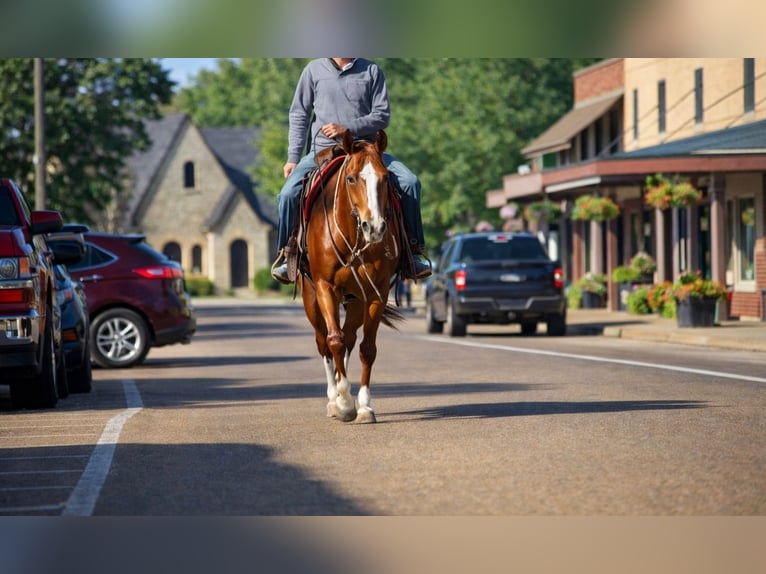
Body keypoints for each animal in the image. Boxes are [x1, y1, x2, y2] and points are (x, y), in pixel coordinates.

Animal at [299, 129, 404, 423]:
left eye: (385, 177)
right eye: (351, 178)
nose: (375, 227)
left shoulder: (376, 291)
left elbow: (367, 348)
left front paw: (364, 406)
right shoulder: (324, 286)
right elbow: (333, 340)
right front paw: (344, 403)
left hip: (355, 300)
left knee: (348, 338)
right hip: (312, 300)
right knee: (325, 342)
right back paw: (333, 398)